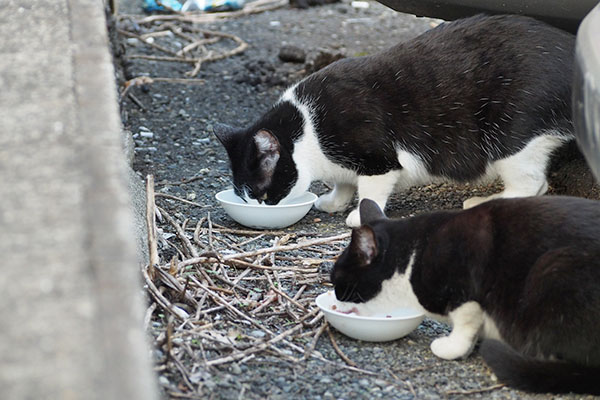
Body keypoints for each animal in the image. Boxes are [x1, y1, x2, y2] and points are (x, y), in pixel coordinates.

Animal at [213, 14, 576, 227]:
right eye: (246, 197)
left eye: (263, 195)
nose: (258, 208)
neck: (307, 125)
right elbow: (344, 183)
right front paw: (334, 200)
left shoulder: (376, 158)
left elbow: (370, 190)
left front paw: (359, 215)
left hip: (510, 133)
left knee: (531, 183)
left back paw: (484, 202)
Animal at [330, 198, 600, 394]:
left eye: (337, 281)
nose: (335, 299)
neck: (411, 257)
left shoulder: (463, 290)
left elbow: (465, 322)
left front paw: (453, 347)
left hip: (554, 269)